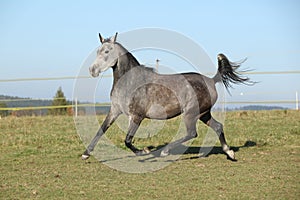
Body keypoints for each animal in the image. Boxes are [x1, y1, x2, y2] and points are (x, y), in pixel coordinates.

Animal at [81, 32, 251, 161]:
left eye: (107, 51)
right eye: (98, 51)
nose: (92, 70)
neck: (131, 81)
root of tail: (211, 80)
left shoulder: (137, 116)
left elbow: (128, 140)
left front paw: (144, 152)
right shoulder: (115, 111)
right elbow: (101, 130)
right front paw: (85, 154)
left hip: (190, 114)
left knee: (192, 133)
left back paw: (165, 151)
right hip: (203, 114)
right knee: (217, 127)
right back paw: (229, 153)